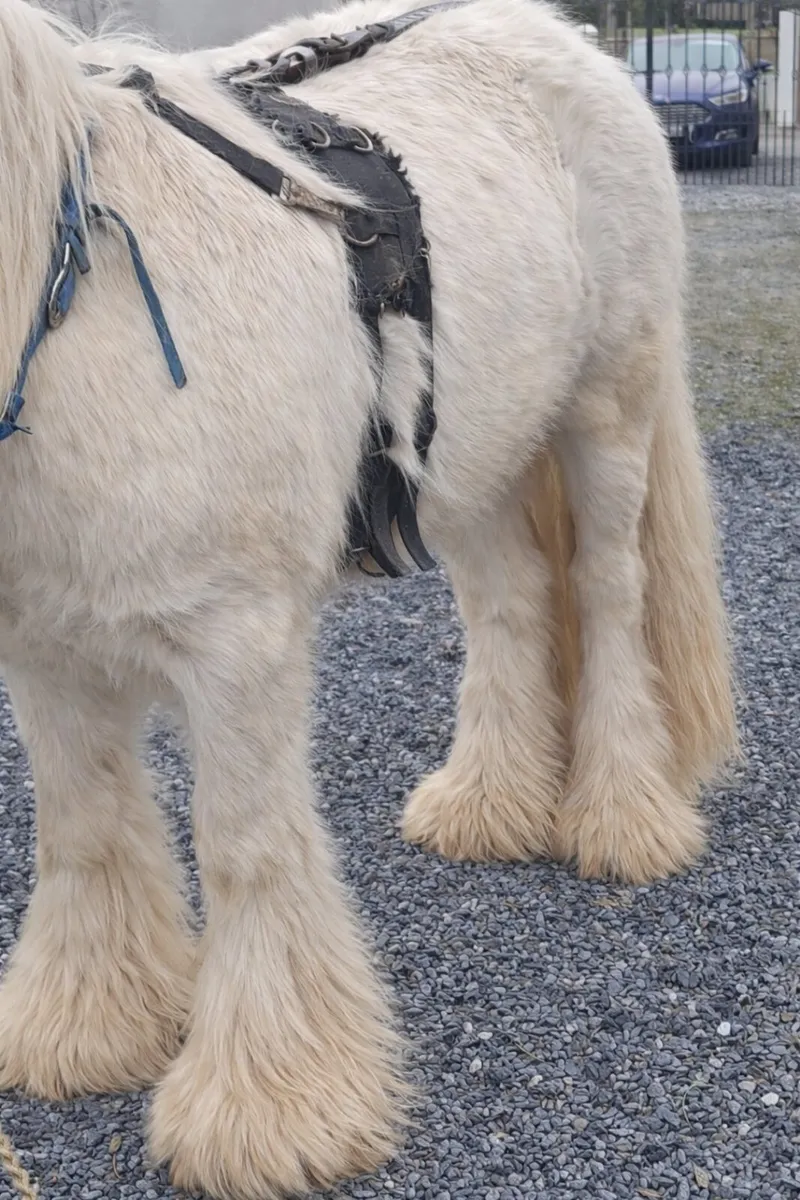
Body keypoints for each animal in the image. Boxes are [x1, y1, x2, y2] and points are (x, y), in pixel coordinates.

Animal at [0, 0, 737, 1196]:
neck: (77, 299)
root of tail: (565, 38)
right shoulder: (42, 646)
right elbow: (82, 829)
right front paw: (88, 1027)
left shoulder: (237, 642)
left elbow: (246, 850)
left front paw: (269, 1109)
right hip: (474, 455)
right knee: (512, 607)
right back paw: (487, 809)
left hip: (606, 409)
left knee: (610, 596)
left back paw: (620, 820)